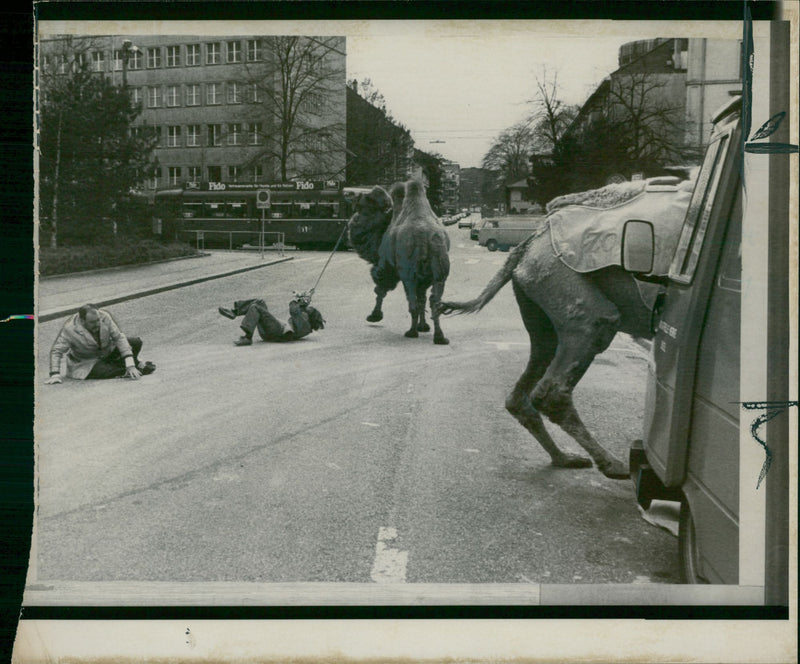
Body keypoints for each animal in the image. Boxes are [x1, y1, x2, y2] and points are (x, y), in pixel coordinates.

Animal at [348, 179, 454, 344]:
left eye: (366, 209)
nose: (353, 221)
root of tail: (427, 240)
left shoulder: (385, 265)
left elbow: (380, 289)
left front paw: (374, 316)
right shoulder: (424, 279)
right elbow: (422, 298)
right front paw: (423, 326)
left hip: (408, 273)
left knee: (412, 301)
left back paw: (411, 332)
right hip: (439, 273)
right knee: (434, 301)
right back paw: (440, 337)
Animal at [438, 176, 692, 478]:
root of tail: (531, 241)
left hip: (541, 305)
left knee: (523, 390)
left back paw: (565, 458)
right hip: (576, 295)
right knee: (556, 386)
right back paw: (612, 464)